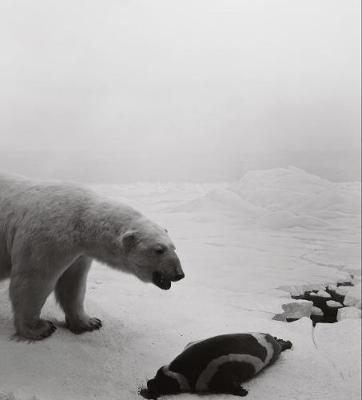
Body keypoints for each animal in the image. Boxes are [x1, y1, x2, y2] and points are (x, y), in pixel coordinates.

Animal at [0, 173, 185, 340]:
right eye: (159, 250)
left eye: (174, 247)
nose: (179, 274)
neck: (79, 219)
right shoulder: (46, 237)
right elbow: (33, 279)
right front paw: (40, 328)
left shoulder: (77, 252)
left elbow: (73, 283)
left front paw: (89, 322)